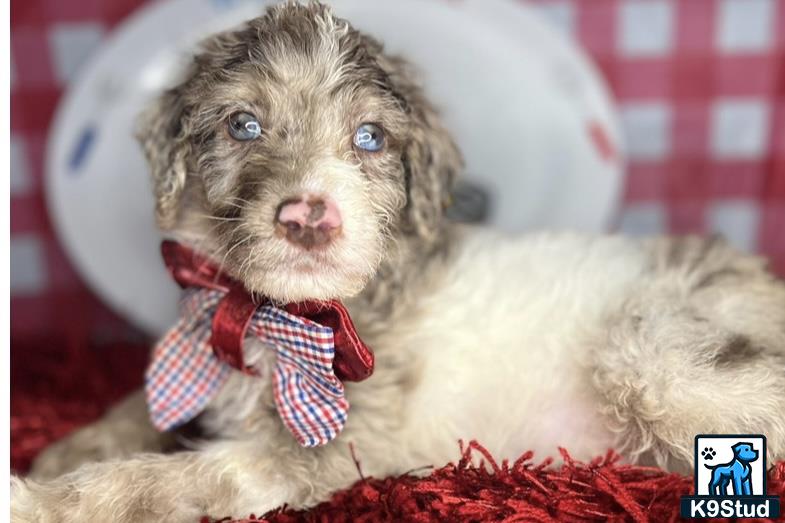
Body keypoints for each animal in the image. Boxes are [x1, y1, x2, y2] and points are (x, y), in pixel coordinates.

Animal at [13, 2, 784, 520]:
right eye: (243, 125)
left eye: (370, 138)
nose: (307, 215)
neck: (267, 315)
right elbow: (141, 401)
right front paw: (70, 446)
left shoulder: (315, 455)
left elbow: (166, 480)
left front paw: (39, 497)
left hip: (651, 356)